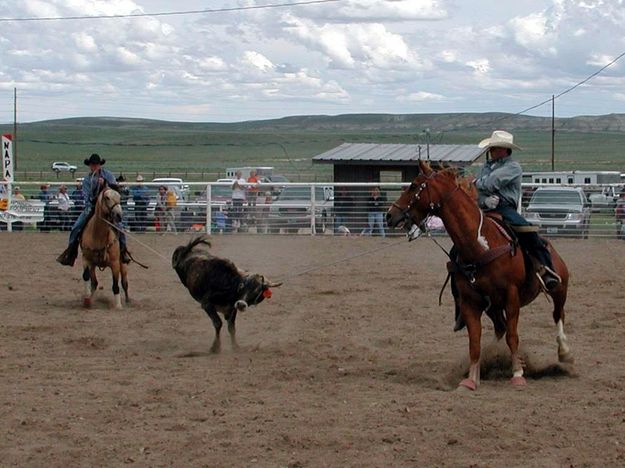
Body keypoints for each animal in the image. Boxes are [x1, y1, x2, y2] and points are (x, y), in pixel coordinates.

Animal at [388, 162, 572, 392]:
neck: (479, 246)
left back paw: (564, 352)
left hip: (559, 288)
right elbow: (475, 342)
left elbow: (513, 336)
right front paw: (471, 378)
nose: (389, 215)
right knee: (501, 327)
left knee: (558, 314)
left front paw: (517, 374)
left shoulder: (512, 297)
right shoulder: (470, 302)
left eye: (413, 185)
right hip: (493, 307)